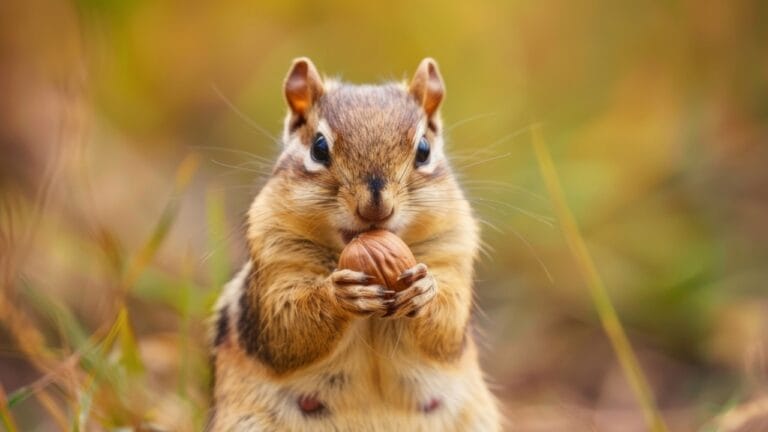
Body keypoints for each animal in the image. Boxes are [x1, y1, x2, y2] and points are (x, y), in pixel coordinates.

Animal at [209, 57, 501, 431]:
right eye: (319, 148)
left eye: (424, 150)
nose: (375, 206)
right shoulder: (275, 257)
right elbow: (283, 327)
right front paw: (340, 295)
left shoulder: (453, 250)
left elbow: (447, 328)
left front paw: (424, 290)